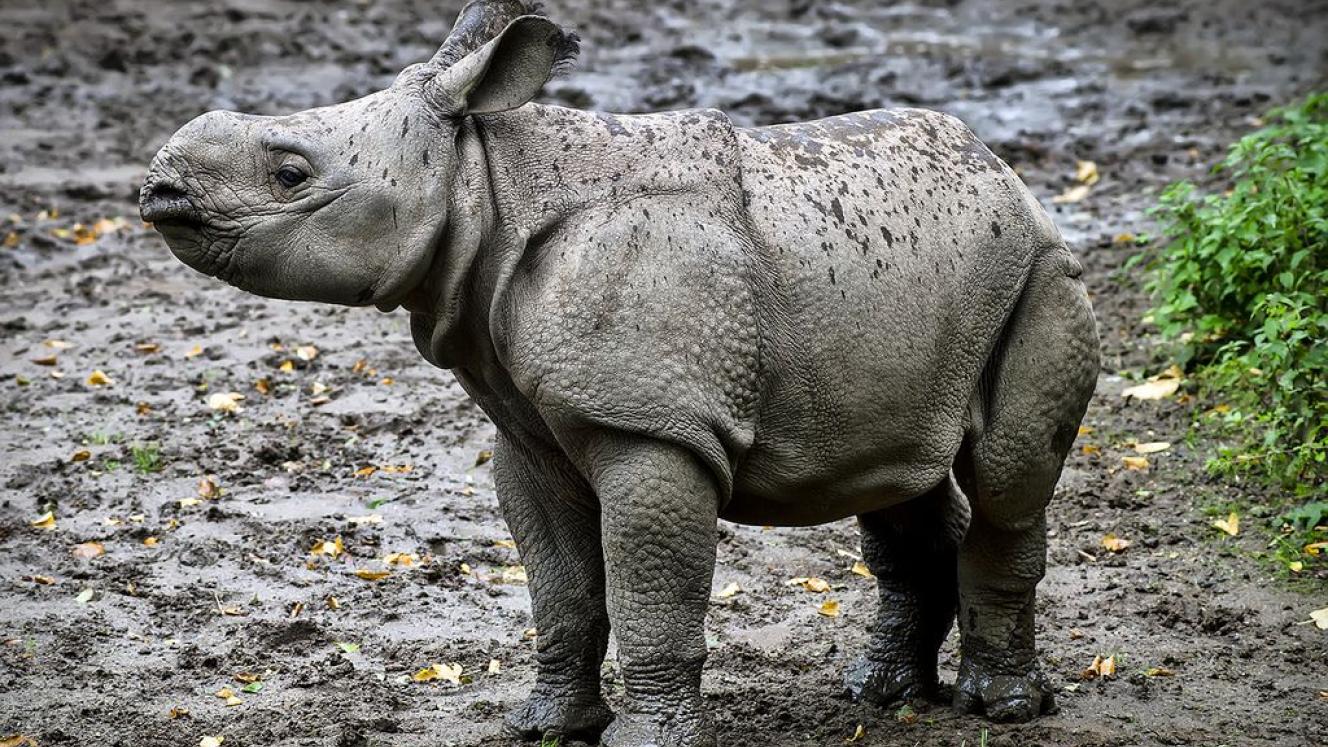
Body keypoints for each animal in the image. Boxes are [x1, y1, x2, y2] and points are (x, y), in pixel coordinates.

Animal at [140, 2, 1099, 744]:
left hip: (1040, 269)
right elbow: (562, 588)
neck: (482, 183)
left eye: (290, 172)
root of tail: (1010, 176)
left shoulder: (649, 426)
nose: (159, 187)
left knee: (1007, 472)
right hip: (915, 289)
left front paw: (646, 737)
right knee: (894, 467)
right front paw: (545, 727)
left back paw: (1001, 708)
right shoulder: (527, 431)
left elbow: (650, 591)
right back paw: (881, 693)